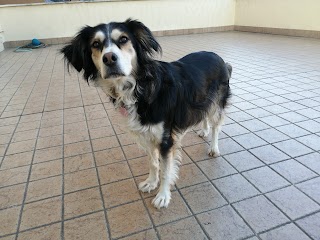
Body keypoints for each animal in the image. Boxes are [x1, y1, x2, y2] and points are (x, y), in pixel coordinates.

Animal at [62, 18, 232, 209]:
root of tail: (218, 57)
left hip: (217, 103)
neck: (140, 88)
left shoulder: (165, 140)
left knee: (216, 125)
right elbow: (153, 163)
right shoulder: (147, 135)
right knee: (203, 115)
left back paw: (213, 148)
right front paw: (151, 182)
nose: (109, 58)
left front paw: (163, 196)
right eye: (96, 44)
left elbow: (165, 170)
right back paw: (203, 131)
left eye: (123, 39)